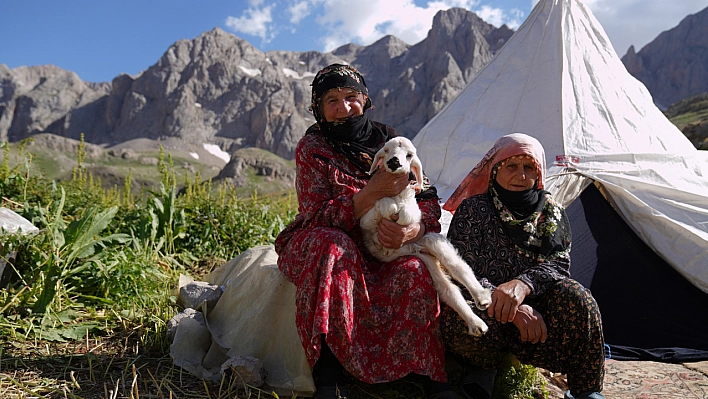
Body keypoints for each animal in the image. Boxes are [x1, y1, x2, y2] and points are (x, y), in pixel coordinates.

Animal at [362, 138, 490, 338]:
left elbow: (407, 214)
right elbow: (380, 206)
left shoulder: (414, 213)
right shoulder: (365, 220)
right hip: (426, 259)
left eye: (409, 155)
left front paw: (398, 214)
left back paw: (482, 298)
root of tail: (417, 248)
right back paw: (476, 324)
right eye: (387, 150)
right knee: (447, 289)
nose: (394, 162)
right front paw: (389, 207)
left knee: (458, 266)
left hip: (430, 240)